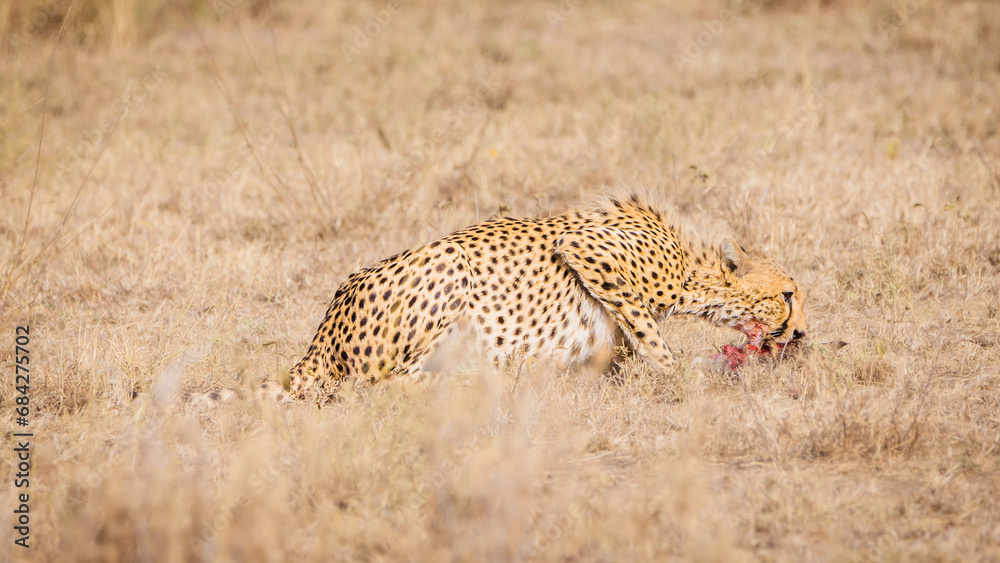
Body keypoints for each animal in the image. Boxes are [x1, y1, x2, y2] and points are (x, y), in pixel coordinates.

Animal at [255, 191, 807, 402]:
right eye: (787, 294)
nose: (801, 333)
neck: (691, 268)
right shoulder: (588, 248)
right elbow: (655, 340)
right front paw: (685, 379)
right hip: (448, 262)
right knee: (379, 385)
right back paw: (485, 381)